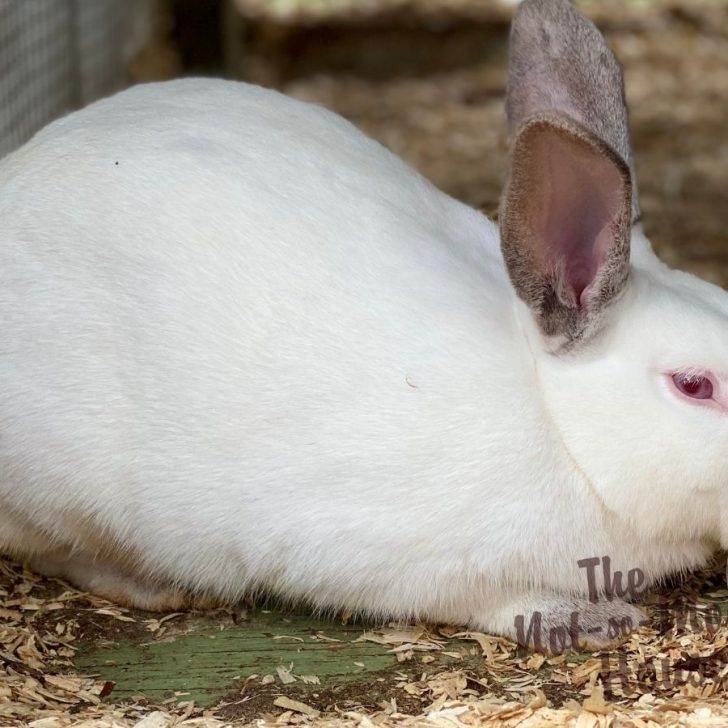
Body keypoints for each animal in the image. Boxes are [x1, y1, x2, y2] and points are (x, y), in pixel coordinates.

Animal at [0, 0, 724, 648]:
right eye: (694, 386)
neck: (564, 431)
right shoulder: (398, 557)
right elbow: (486, 598)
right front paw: (584, 620)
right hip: (64, 487)